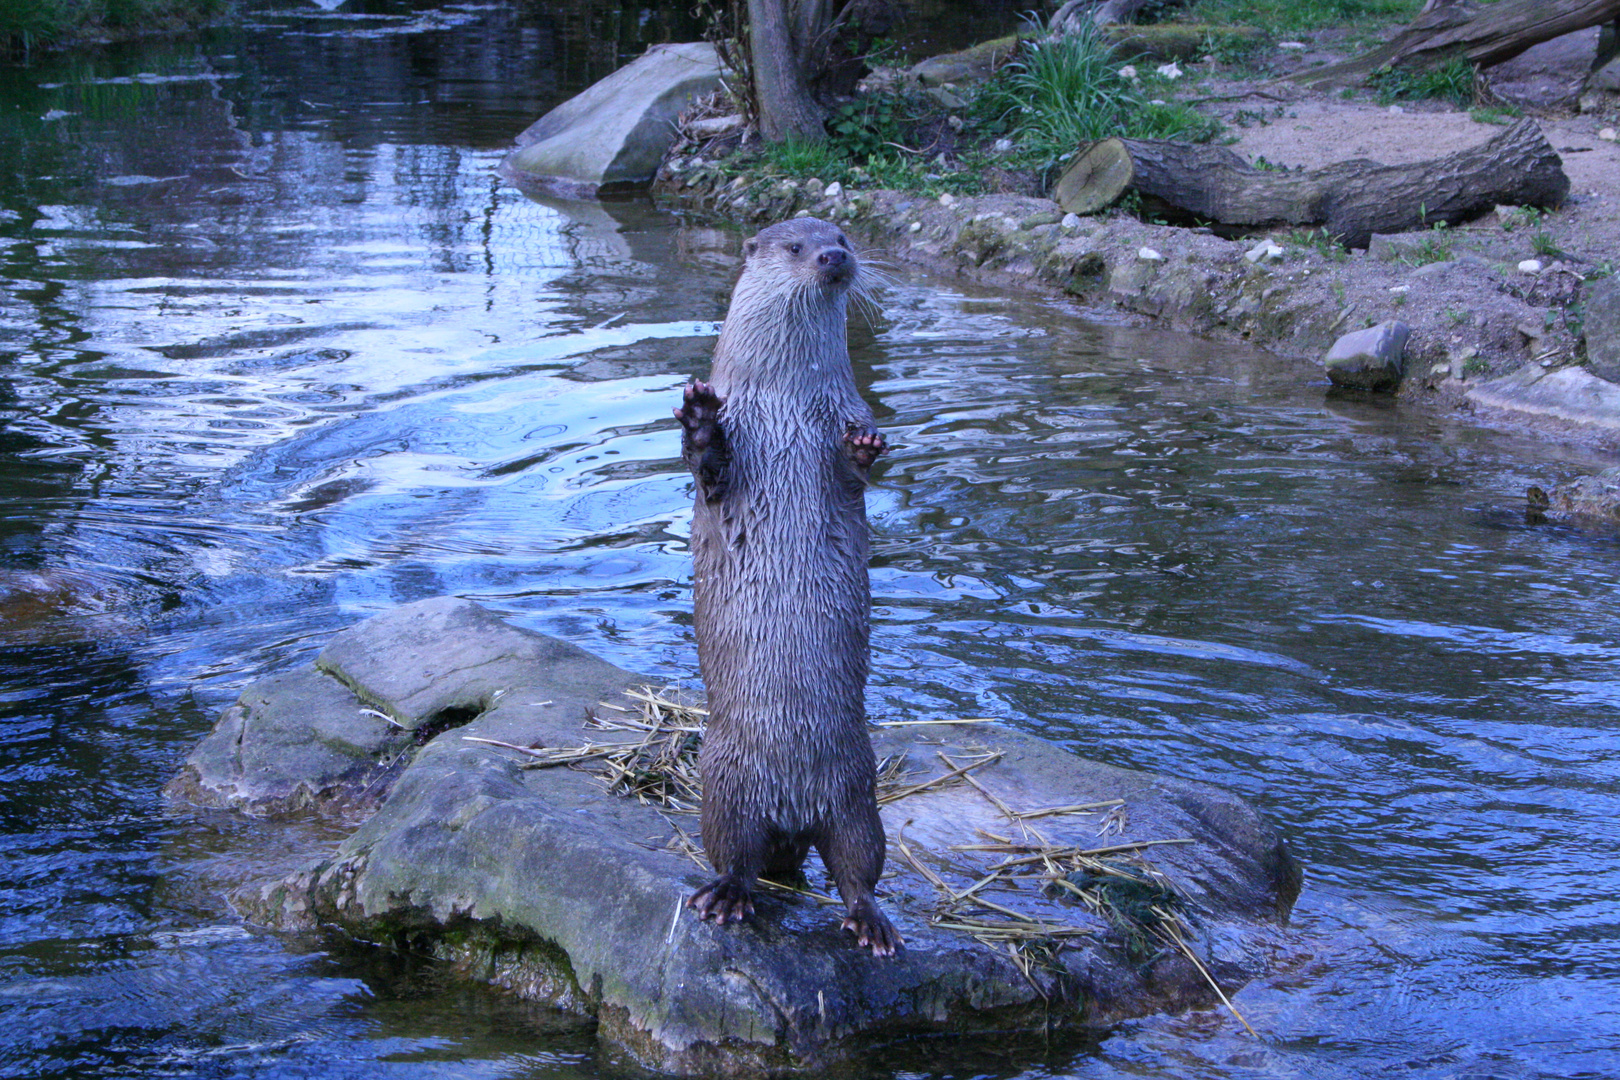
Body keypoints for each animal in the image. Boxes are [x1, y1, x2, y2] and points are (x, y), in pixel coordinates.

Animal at [670, 216, 900, 952]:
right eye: (794, 247)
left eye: (843, 236)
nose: (831, 258)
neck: (788, 407)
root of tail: (795, 813)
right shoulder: (728, 458)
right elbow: (708, 468)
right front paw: (699, 420)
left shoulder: (844, 410)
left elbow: (854, 472)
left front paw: (864, 446)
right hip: (721, 782)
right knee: (735, 854)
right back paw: (726, 896)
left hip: (858, 790)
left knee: (858, 865)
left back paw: (871, 923)